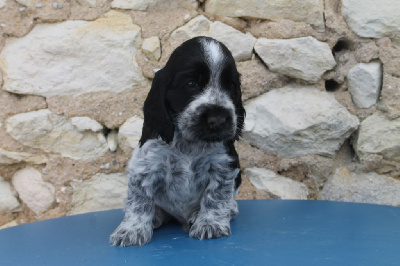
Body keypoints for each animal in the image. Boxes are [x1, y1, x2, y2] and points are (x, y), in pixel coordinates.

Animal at [111, 36, 245, 246]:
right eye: (191, 83)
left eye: (230, 85)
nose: (218, 120)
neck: (189, 144)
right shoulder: (145, 167)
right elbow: (139, 202)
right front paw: (131, 231)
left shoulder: (222, 166)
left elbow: (216, 196)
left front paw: (210, 224)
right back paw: (155, 217)